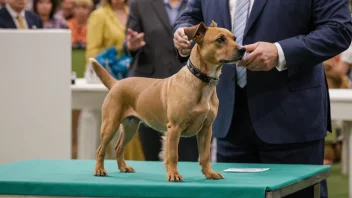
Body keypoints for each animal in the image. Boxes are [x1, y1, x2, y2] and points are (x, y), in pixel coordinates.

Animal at [89, 20, 246, 182]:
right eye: (220, 40)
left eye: (234, 38)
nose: (243, 49)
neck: (200, 80)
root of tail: (116, 83)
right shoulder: (174, 128)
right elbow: (172, 155)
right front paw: (173, 174)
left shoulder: (206, 129)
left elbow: (205, 155)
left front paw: (209, 173)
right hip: (110, 125)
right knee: (101, 149)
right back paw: (99, 169)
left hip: (130, 126)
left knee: (119, 147)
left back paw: (123, 167)